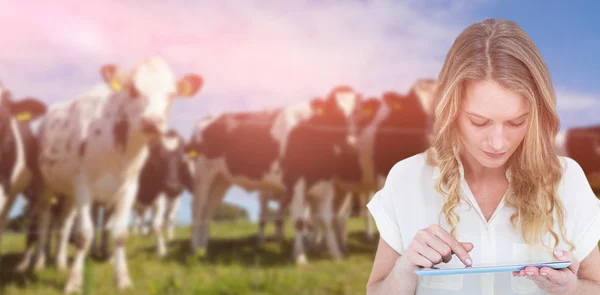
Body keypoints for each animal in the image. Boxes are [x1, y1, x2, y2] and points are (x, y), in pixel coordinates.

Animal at [33, 57, 204, 294]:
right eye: (133, 89)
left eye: (171, 94)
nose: (152, 121)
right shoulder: (83, 185)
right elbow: (84, 235)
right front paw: (74, 282)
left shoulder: (128, 188)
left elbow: (120, 234)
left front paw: (122, 279)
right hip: (46, 186)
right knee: (44, 220)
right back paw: (40, 262)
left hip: (68, 193)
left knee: (64, 225)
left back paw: (60, 263)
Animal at [185, 86, 360, 264]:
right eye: (335, 111)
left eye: (359, 112)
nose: (351, 144)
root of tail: (208, 118)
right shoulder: (296, 182)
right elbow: (299, 221)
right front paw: (300, 257)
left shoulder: (326, 185)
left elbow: (327, 221)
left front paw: (337, 255)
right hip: (203, 176)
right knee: (197, 208)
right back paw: (194, 249)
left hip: (221, 179)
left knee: (208, 210)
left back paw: (202, 248)